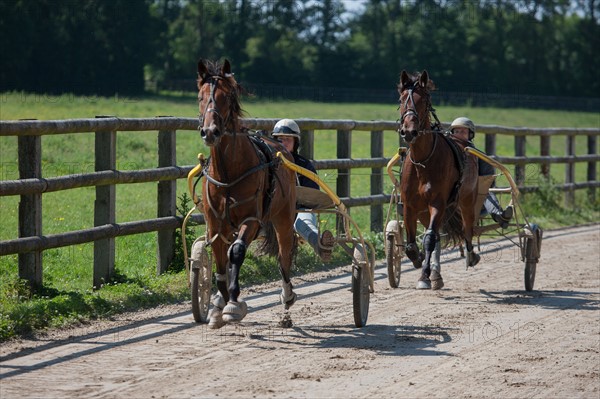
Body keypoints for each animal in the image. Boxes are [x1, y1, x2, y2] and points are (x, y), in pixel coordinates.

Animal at [197, 60, 298, 328]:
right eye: (201, 97)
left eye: (227, 97)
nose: (210, 131)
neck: (228, 174)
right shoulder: (215, 225)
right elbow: (220, 262)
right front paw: (219, 304)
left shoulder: (251, 219)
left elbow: (237, 252)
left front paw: (233, 304)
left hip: (284, 216)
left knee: (284, 255)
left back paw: (287, 296)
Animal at [398, 71, 478, 290]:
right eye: (401, 100)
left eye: (424, 101)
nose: (409, 131)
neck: (423, 162)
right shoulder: (410, 205)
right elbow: (411, 244)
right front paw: (417, 259)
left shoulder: (438, 203)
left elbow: (430, 239)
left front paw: (424, 274)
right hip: (424, 211)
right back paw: (435, 273)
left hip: (467, 199)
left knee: (467, 227)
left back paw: (470, 255)